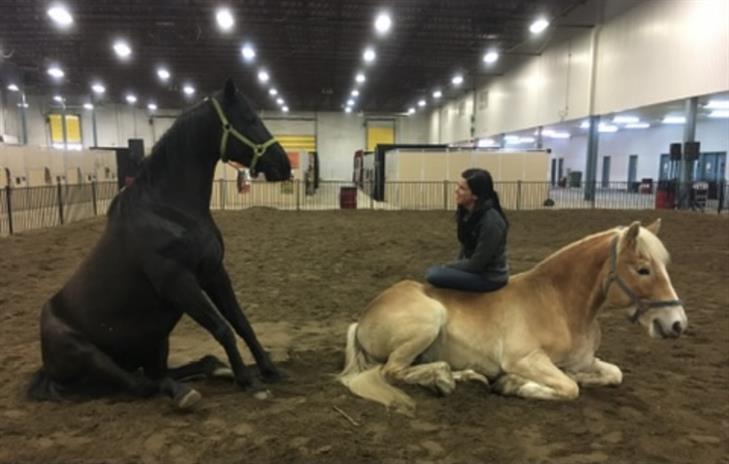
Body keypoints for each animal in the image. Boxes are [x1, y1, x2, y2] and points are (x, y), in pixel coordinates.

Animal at [29, 80, 290, 410]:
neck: (168, 210)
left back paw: (214, 370)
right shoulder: (178, 282)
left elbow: (240, 322)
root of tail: (46, 369)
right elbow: (222, 328)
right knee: (142, 384)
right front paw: (249, 380)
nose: (284, 164)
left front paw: (268, 369)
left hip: (157, 342)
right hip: (88, 353)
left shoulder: (214, 272)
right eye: (249, 119)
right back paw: (184, 392)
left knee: (167, 371)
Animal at [338, 219, 684, 412]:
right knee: (392, 371)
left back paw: (463, 376)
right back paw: (444, 379)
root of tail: (363, 319)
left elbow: (612, 374)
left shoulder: (584, 360)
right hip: (429, 319)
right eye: (643, 269)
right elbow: (569, 388)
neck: (559, 305)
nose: (677, 323)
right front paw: (512, 385)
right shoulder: (525, 359)